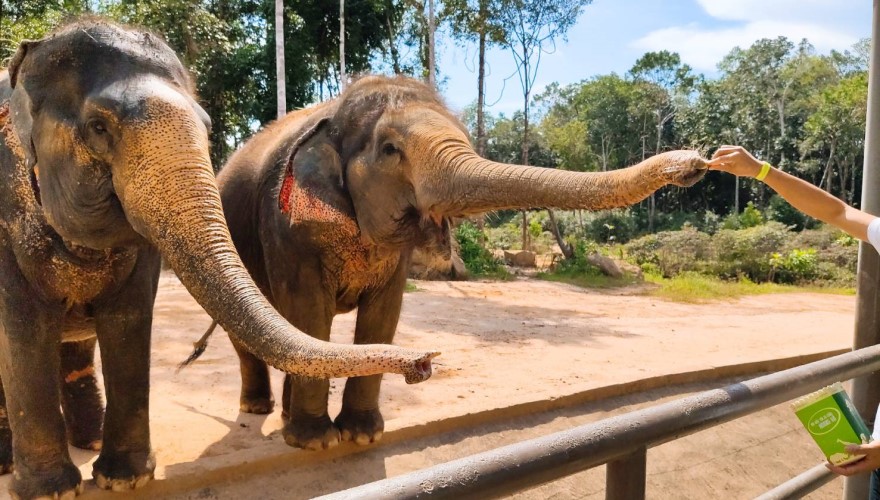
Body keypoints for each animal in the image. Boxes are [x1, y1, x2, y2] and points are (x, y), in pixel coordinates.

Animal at [0, 18, 436, 496]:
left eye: (207, 126)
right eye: (98, 127)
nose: (423, 364)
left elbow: (128, 321)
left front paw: (125, 479)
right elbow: (25, 330)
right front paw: (54, 490)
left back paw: (90, 441)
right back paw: (10, 462)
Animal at [211, 76, 708, 452]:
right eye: (390, 149)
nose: (697, 162)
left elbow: (383, 316)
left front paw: (362, 436)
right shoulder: (285, 231)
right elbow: (309, 313)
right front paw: (317, 442)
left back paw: (285, 415)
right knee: (251, 335)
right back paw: (260, 411)